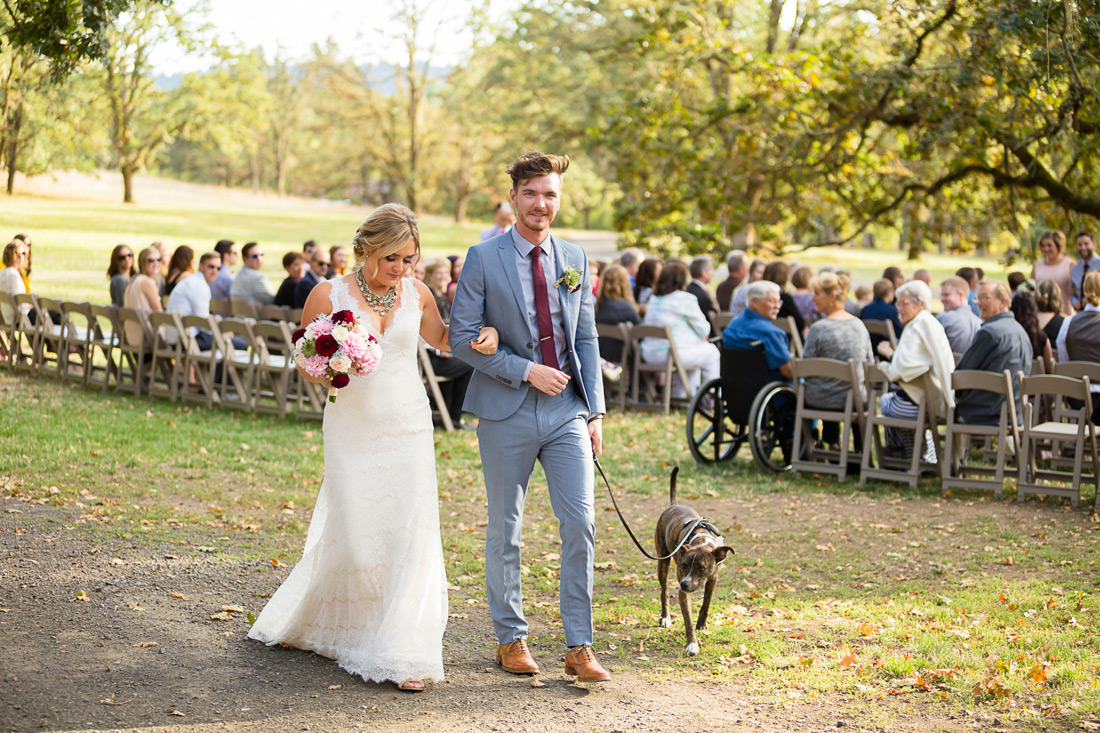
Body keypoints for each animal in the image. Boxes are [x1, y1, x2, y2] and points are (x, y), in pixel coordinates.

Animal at [655, 464, 734, 651]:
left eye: (702, 568)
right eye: (684, 565)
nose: (684, 583)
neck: (701, 540)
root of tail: (674, 504)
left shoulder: (713, 579)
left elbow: (706, 602)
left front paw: (702, 624)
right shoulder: (683, 590)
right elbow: (687, 619)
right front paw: (692, 644)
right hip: (662, 562)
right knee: (663, 591)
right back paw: (665, 617)